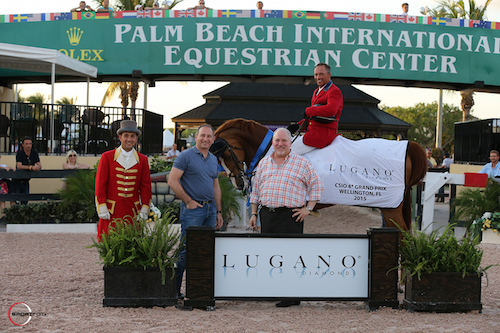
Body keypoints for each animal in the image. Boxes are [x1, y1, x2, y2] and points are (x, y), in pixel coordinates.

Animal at [211, 118, 426, 232]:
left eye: (225, 155)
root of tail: (407, 146)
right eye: (218, 160)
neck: (269, 148)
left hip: (390, 208)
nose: (239, 183)